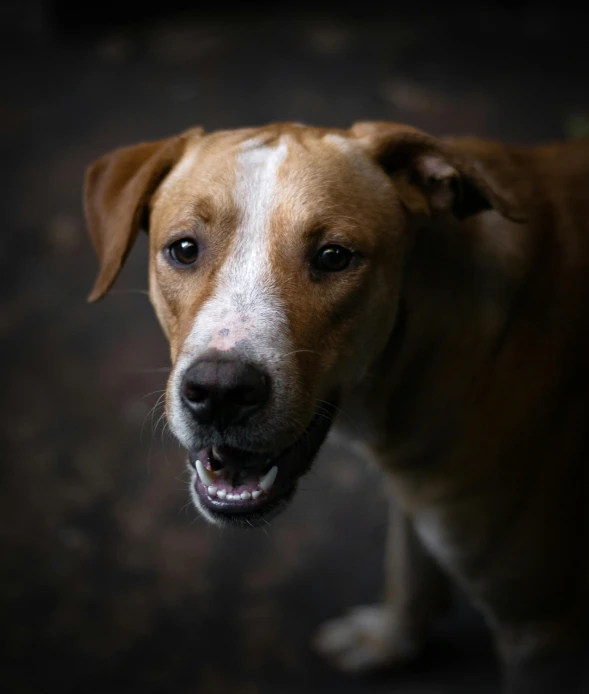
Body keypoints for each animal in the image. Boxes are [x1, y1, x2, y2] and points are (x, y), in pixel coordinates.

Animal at [84, 122, 588, 692]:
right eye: (184, 249)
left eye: (333, 257)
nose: (219, 391)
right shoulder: (415, 499)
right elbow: (408, 569)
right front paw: (390, 641)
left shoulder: (542, 629)